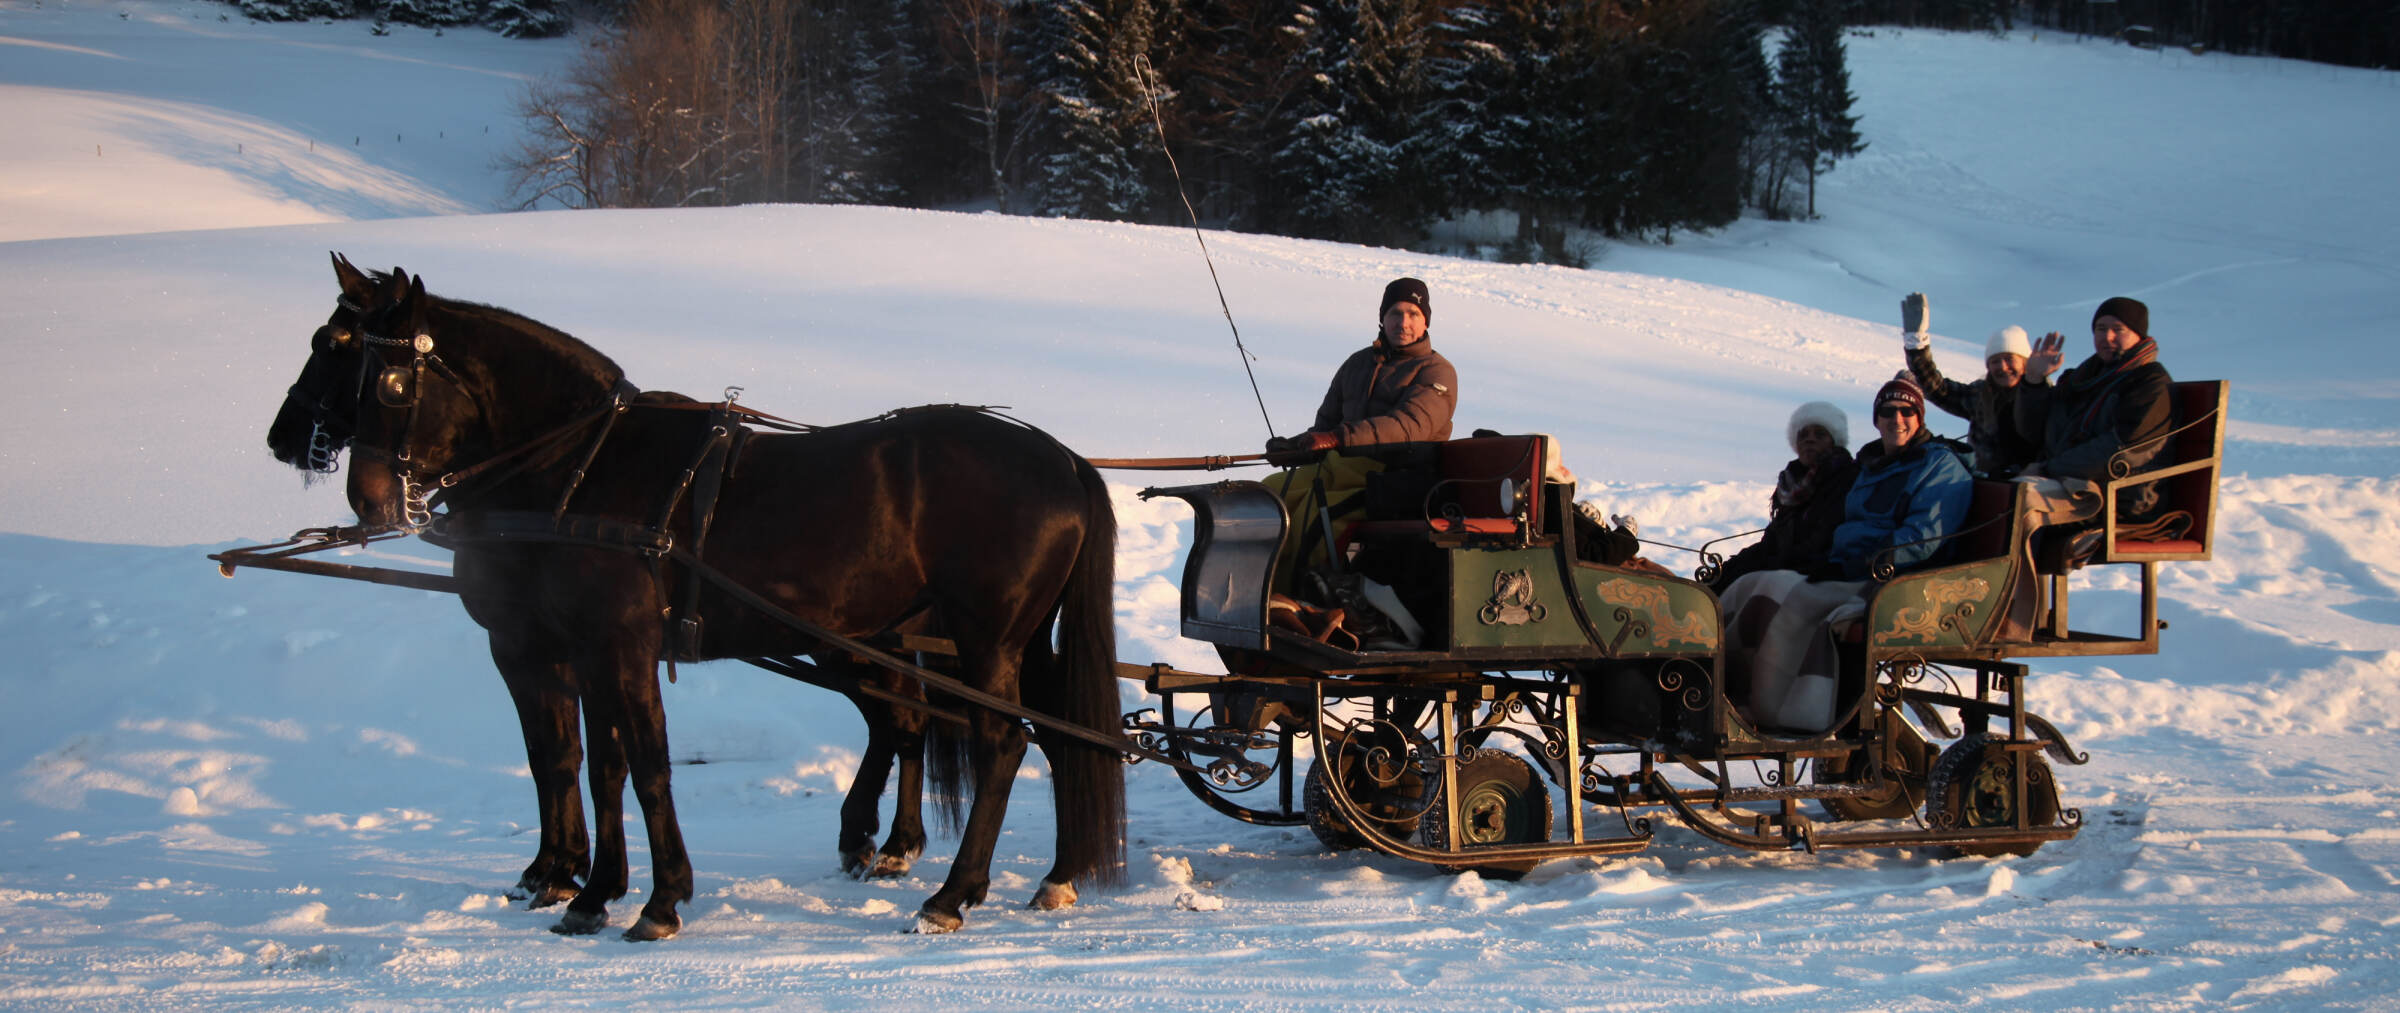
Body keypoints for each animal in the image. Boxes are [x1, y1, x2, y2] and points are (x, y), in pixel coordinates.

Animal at [264, 259, 1119, 937]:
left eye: (367, 365)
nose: (366, 496)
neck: (575, 468)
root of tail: (1064, 457)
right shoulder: (571, 649)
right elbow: (583, 761)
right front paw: (581, 887)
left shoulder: (605, 645)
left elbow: (641, 764)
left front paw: (652, 898)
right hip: (987, 641)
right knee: (1042, 731)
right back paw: (1054, 872)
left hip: (982, 639)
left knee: (999, 741)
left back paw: (951, 892)